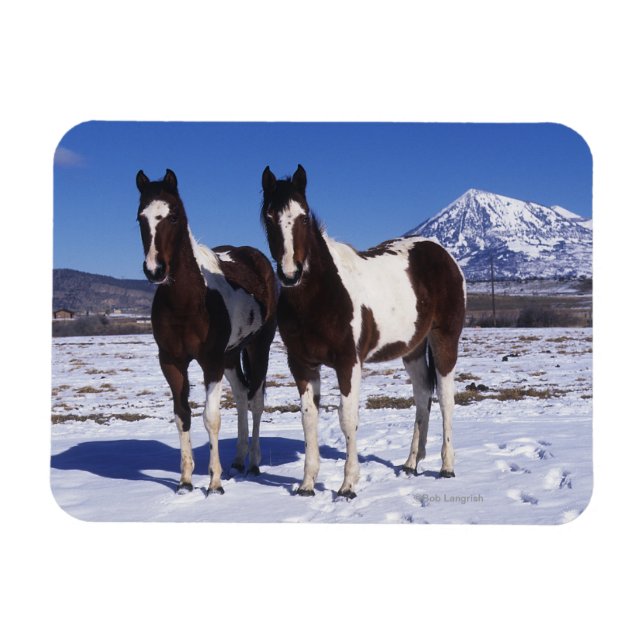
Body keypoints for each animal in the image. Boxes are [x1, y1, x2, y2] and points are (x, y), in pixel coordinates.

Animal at [136, 169, 278, 495]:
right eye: (140, 218)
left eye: (174, 216)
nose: (154, 270)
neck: (189, 300)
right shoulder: (172, 363)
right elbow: (182, 416)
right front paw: (186, 481)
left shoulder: (210, 362)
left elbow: (211, 418)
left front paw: (214, 483)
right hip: (231, 355)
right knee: (241, 396)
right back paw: (237, 460)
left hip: (257, 348)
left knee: (256, 401)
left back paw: (253, 463)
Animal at [260, 165, 466, 498]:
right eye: (269, 216)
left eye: (303, 216)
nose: (291, 274)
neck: (321, 294)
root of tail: (443, 254)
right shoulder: (302, 365)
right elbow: (309, 419)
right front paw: (306, 484)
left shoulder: (349, 362)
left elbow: (347, 419)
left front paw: (347, 485)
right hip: (412, 349)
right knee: (423, 395)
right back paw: (411, 463)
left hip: (444, 338)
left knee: (446, 399)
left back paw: (447, 467)